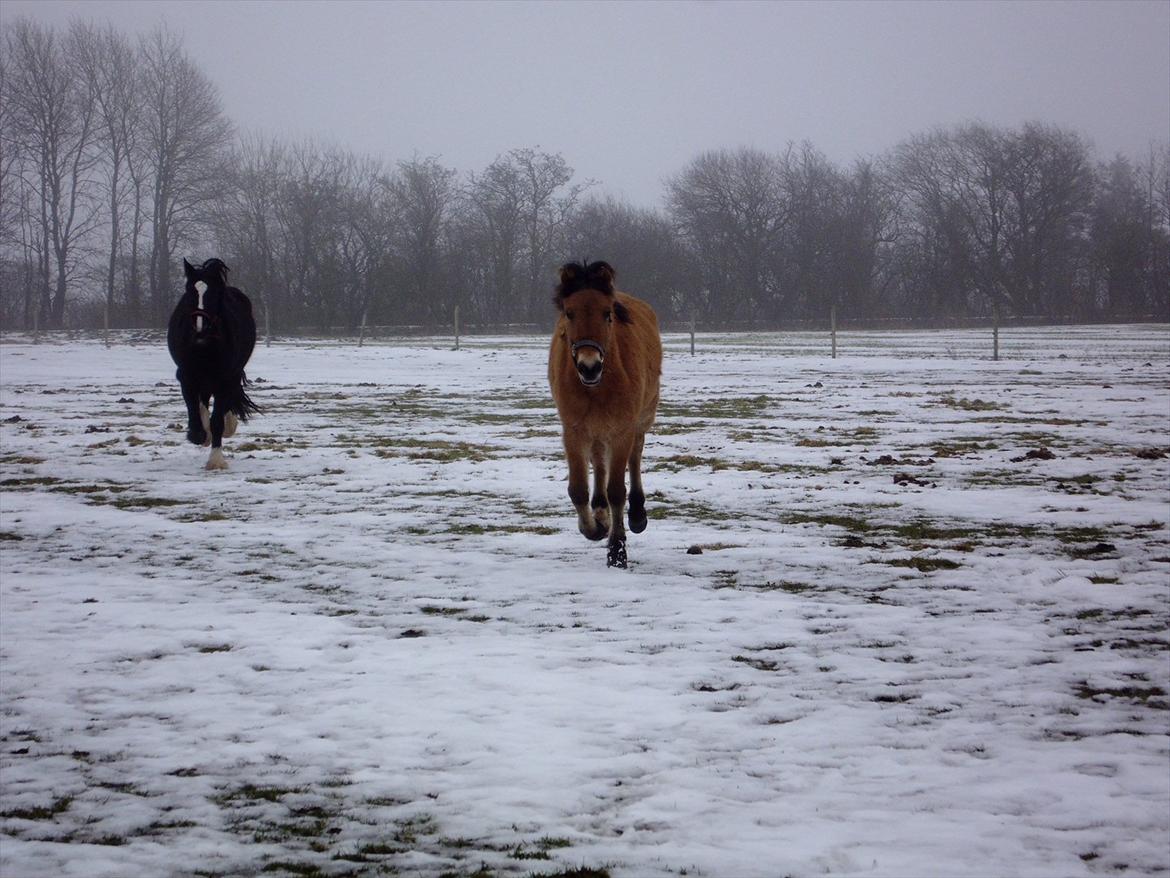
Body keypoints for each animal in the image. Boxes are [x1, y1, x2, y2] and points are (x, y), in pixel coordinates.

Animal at [167, 257, 260, 470]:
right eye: (189, 291)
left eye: (215, 293)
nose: (200, 329)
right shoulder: (187, 376)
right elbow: (194, 410)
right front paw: (199, 434)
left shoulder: (225, 378)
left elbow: (217, 420)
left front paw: (216, 460)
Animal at [545, 259, 659, 571]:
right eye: (569, 313)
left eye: (607, 314)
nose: (589, 366)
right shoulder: (573, 430)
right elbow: (578, 489)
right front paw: (595, 527)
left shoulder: (622, 430)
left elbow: (617, 490)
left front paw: (617, 551)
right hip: (595, 430)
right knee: (598, 459)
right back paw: (599, 510)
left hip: (641, 420)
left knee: (635, 456)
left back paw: (637, 514)